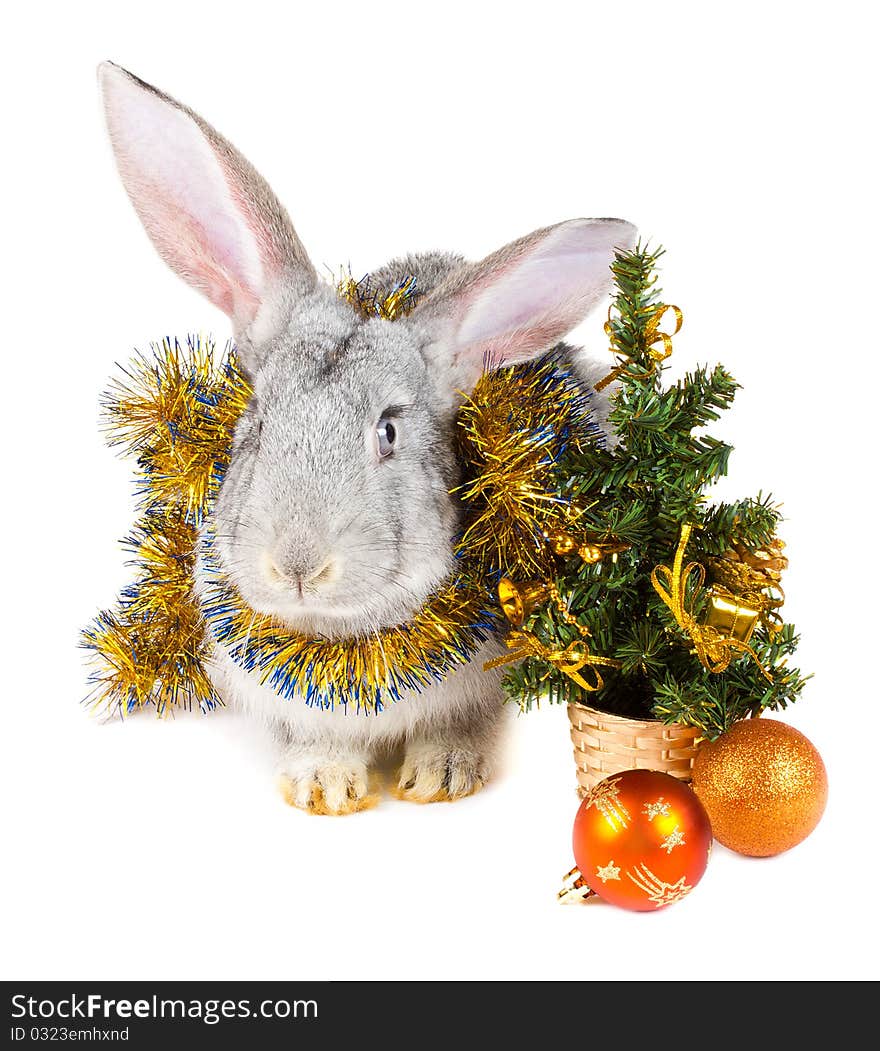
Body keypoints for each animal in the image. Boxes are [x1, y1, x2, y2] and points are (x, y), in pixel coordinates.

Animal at [96, 61, 635, 815]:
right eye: (257, 422)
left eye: (388, 432)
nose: (296, 565)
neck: (341, 631)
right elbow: (319, 740)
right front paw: (322, 786)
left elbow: (462, 726)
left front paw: (441, 776)